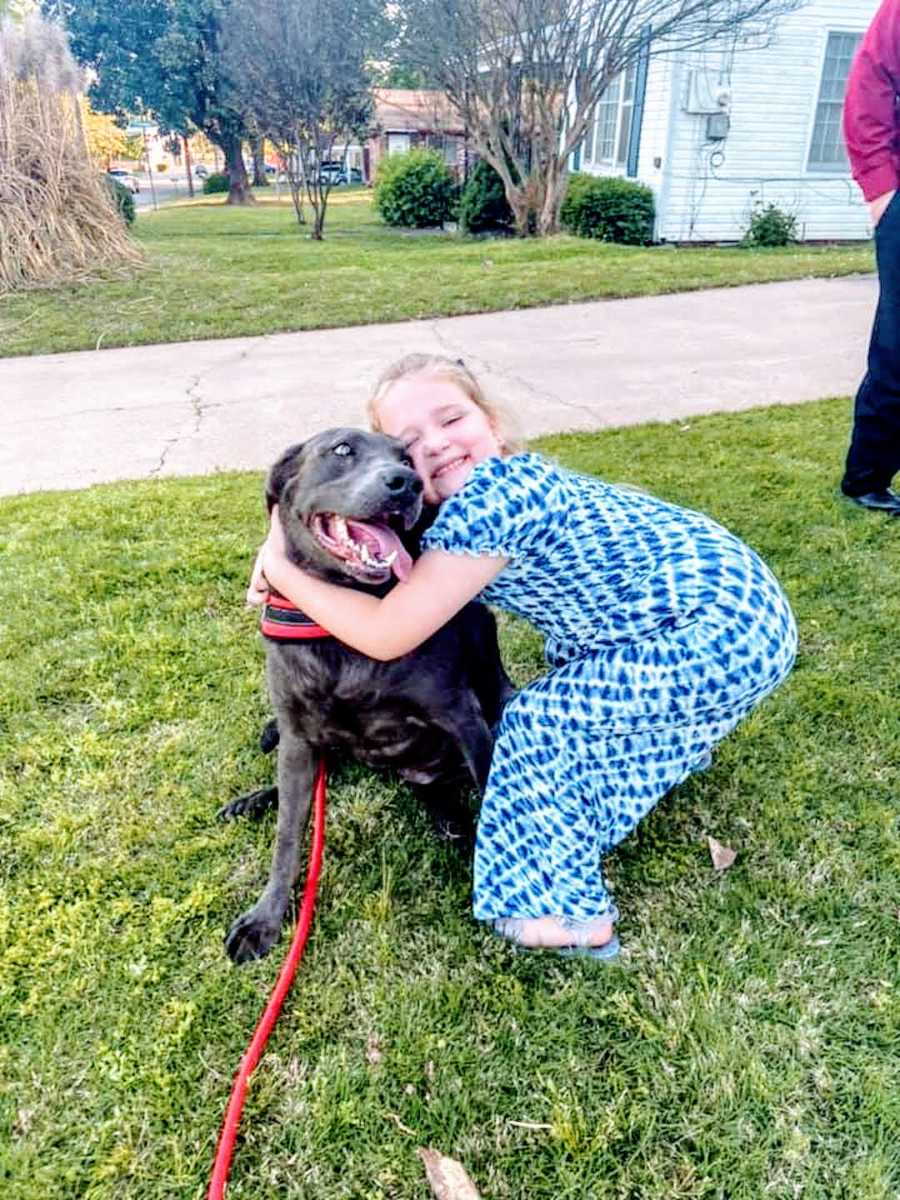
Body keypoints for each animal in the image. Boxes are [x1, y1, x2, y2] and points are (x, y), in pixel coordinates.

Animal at [222, 427, 513, 960]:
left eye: (407, 458)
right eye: (342, 450)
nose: (406, 483)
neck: (346, 621)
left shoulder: (462, 717)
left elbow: (492, 798)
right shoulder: (298, 738)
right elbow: (287, 835)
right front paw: (266, 918)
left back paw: (451, 819)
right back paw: (254, 800)